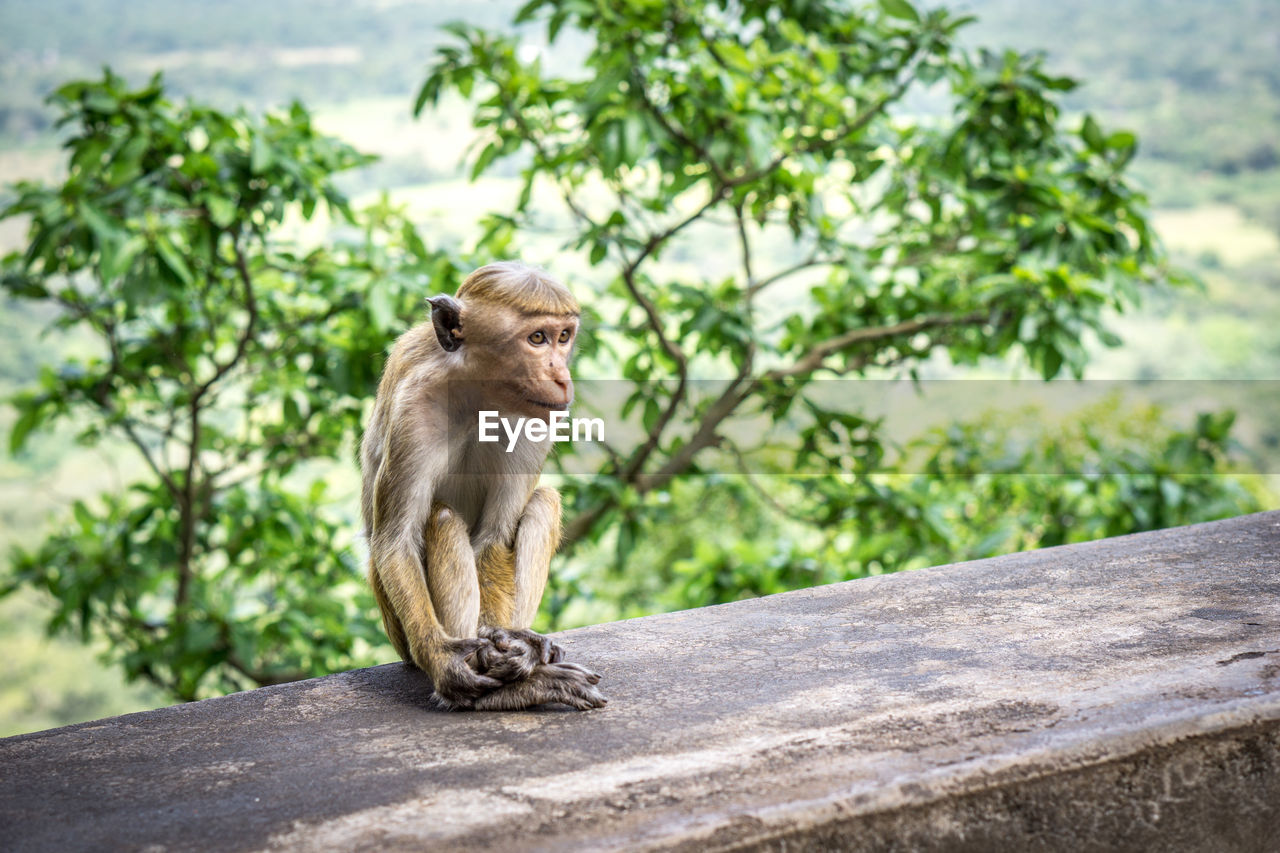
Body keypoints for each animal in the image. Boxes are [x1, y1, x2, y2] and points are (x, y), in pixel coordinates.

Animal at [355, 261, 604, 712]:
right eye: (537, 338)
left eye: (564, 337)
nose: (561, 377)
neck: (478, 397)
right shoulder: (414, 413)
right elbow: (395, 540)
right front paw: (445, 662)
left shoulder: (537, 419)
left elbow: (494, 535)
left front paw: (507, 641)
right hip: (396, 627)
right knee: (441, 518)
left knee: (543, 501)